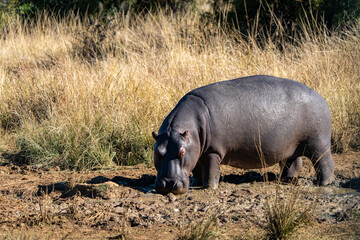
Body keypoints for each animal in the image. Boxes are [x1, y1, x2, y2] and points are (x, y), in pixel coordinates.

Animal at [152, 75, 334, 195]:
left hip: (318, 144)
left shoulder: (212, 151)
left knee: (324, 163)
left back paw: (324, 184)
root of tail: (322, 98)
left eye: (181, 152)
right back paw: (285, 180)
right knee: (292, 163)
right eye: (157, 152)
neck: (191, 130)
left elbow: (211, 170)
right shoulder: (196, 151)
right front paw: (197, 182)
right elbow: (196, 169)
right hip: (291, 147)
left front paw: (210, 187)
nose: (168, 184)